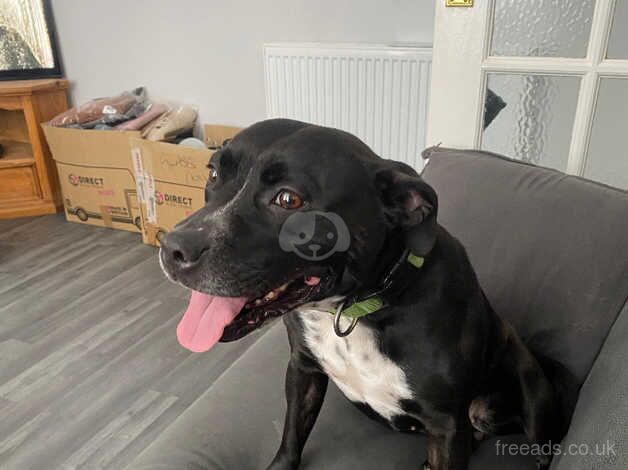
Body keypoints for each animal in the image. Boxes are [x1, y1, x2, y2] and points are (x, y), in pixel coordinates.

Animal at [159, 119, 572, 468]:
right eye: (214, 173)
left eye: (289, 200)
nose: (172, 247)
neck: (358, 308)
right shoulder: (303, 369)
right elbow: (292, 435)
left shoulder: (447, 425)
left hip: (534, 401)